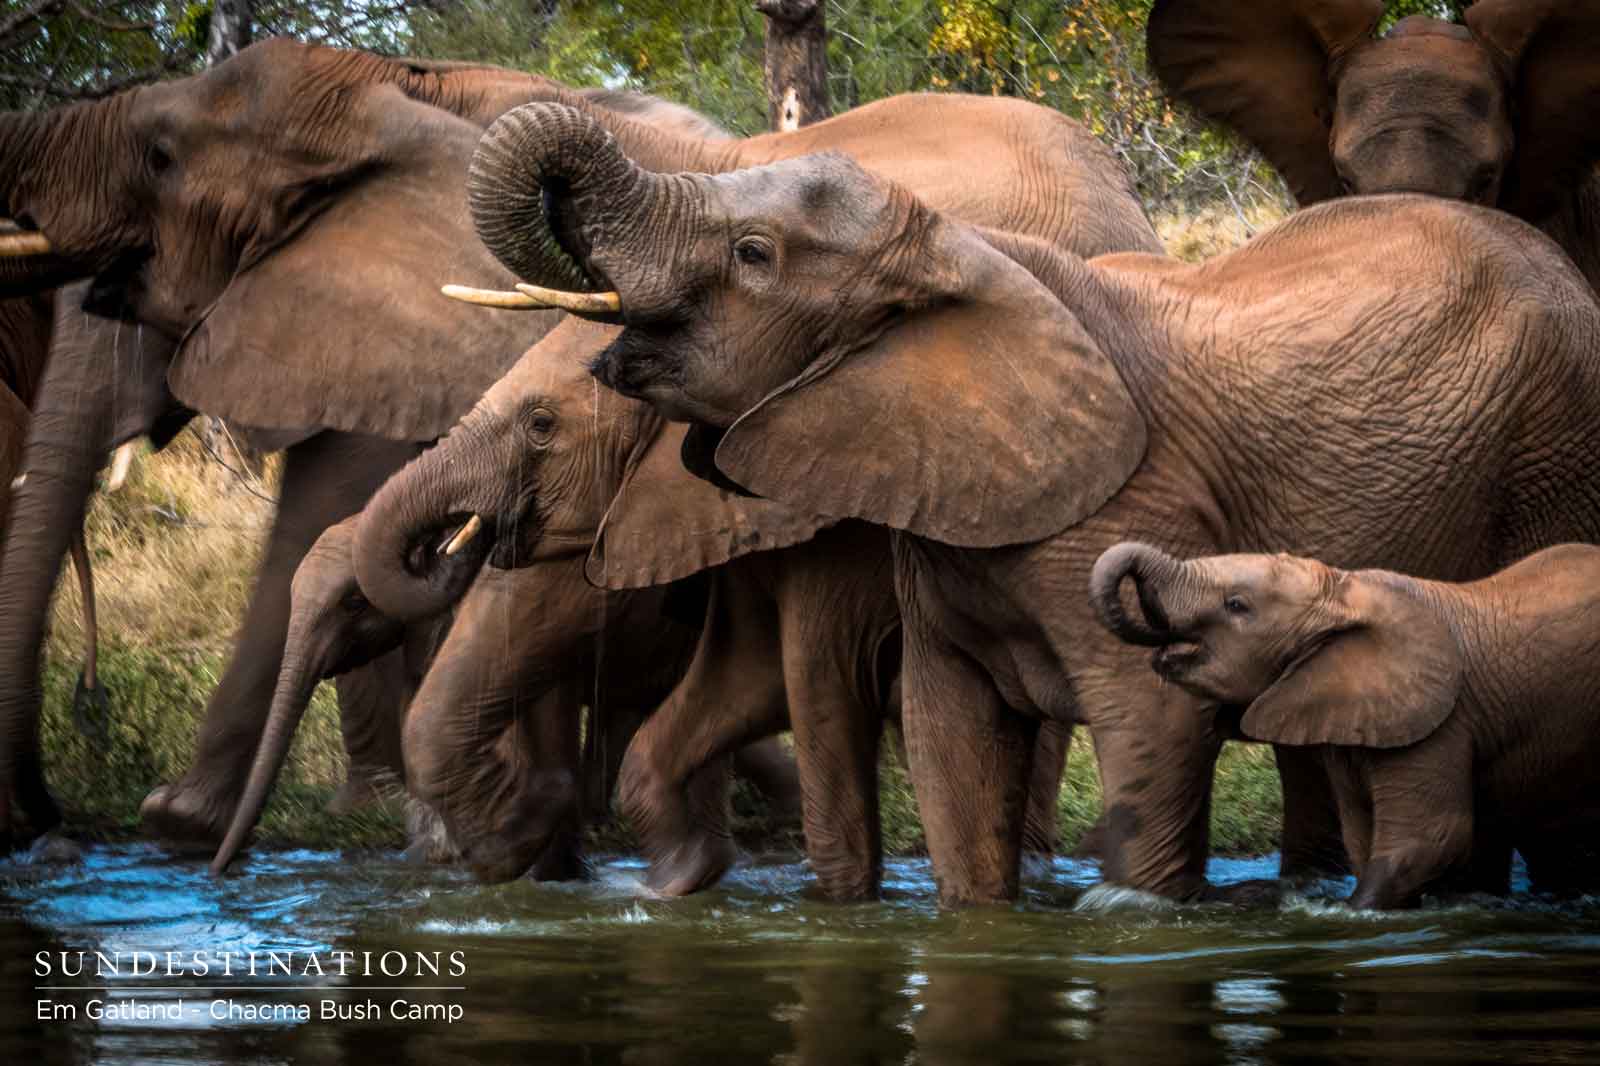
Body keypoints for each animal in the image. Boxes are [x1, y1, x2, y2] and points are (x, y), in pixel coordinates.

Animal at [0, 39, 770, 852]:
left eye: (161, 158)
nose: (43, 818)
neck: (378, 88)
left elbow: (321, 510)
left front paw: (180, 817)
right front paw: (373, 814)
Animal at [1091, 541, 1600, 909]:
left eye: (1236, 605)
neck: (1343, 591)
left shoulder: (1443, 723)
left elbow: (1432, 840)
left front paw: (1346, 915)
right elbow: (1361, 837)